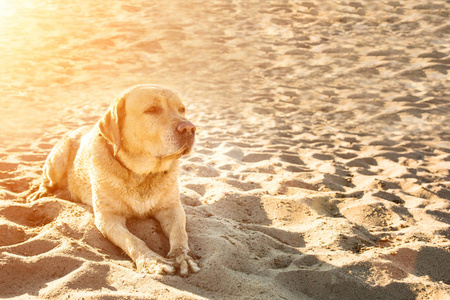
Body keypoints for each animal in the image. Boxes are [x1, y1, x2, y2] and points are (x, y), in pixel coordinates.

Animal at [29, 84, 200, 276]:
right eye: (152, 109)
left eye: (182, 109)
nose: (190, 129)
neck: (142, 175)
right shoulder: (107, 218)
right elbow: (132, 240)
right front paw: (152, 260)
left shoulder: (172, 208)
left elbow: (179, 233)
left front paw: (182, 256)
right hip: (58, 159)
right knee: (47, 181)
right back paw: (41, 193)